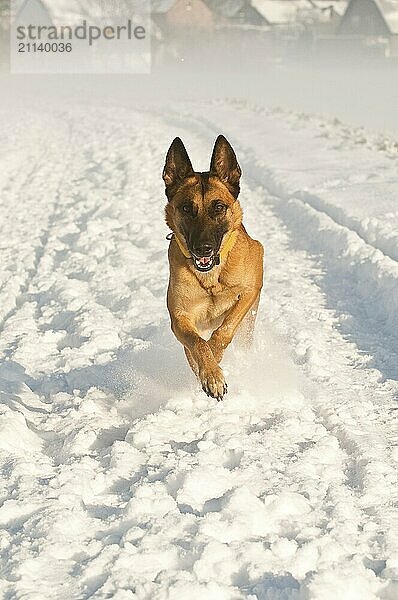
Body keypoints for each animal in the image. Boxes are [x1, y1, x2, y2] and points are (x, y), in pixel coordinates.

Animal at [163, 134, 262, 400]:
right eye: (186, 208)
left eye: (218, 207)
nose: (203, 249)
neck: (212, 279)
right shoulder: (180, 317)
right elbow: (197, 343)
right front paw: (210, 373)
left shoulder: (250, 291)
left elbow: (223, 332)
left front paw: (214, 364)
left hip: (249, 325)